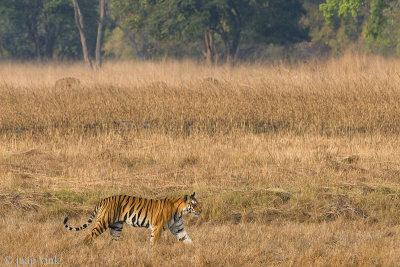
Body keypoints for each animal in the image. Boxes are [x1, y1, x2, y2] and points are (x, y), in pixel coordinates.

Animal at [64, 192, 202, 246]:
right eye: (194, 204)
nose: (200, 211)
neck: (180, 211)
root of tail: (104, 199)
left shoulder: (178, 228)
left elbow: (187, 239)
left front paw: (195, 249)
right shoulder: (157, 228)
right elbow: (153, 242)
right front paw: (151, 253)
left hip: (117, 226)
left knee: (114, 240)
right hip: (103, 222)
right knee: (89, 235)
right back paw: (85, 247)